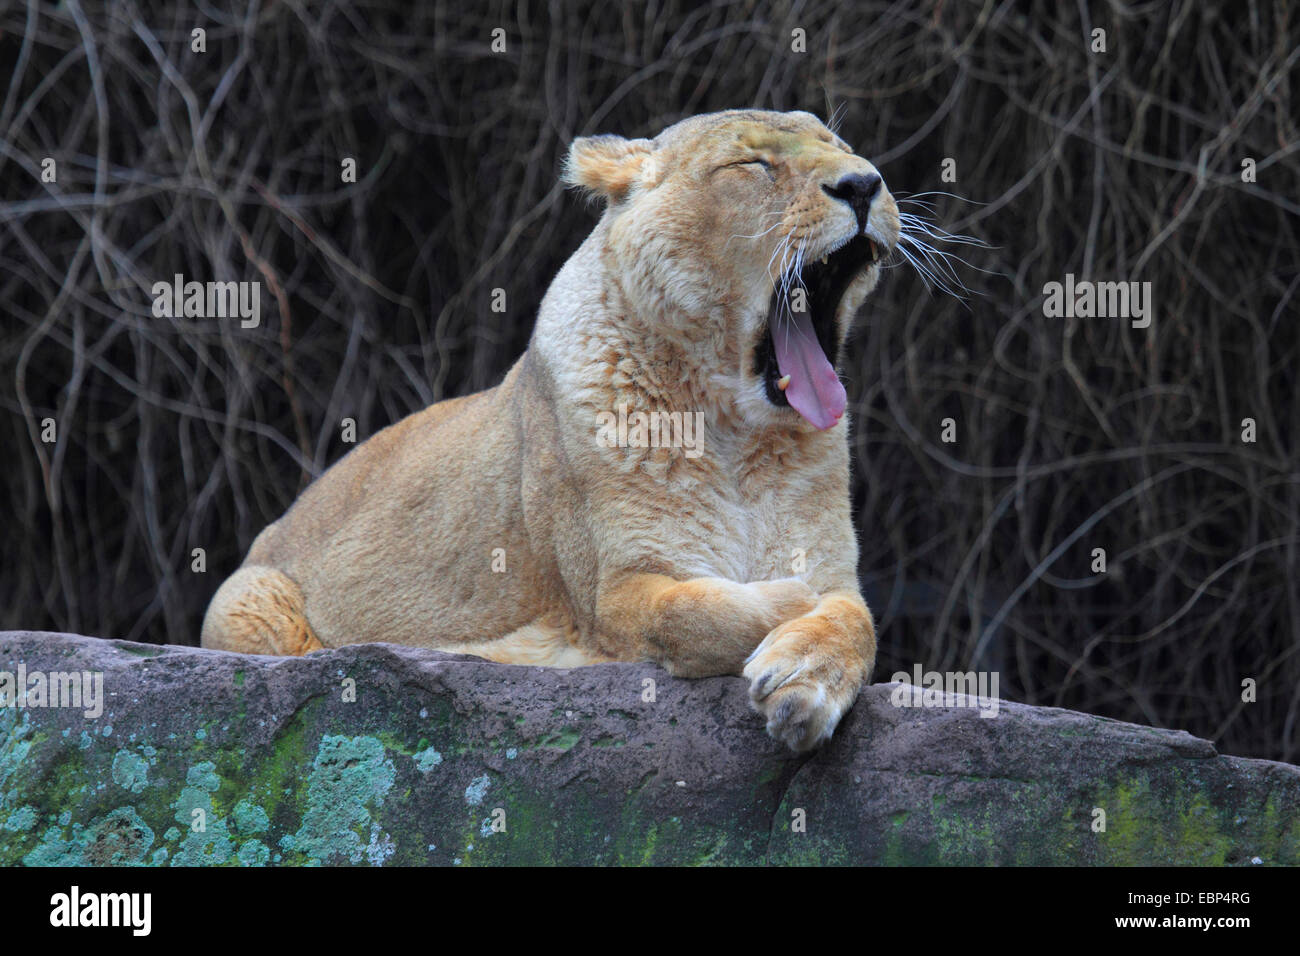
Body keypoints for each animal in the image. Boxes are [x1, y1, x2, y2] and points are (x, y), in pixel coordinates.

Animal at [202, 109, 901, 751]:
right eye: (752, 165)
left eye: (839, 145)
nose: (864, 184)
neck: (738, 436)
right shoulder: (609, 599)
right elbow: (692, 612)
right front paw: (789, 609)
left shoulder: (835, 570)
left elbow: (856, 620)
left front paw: (806, 680)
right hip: (248, 603)